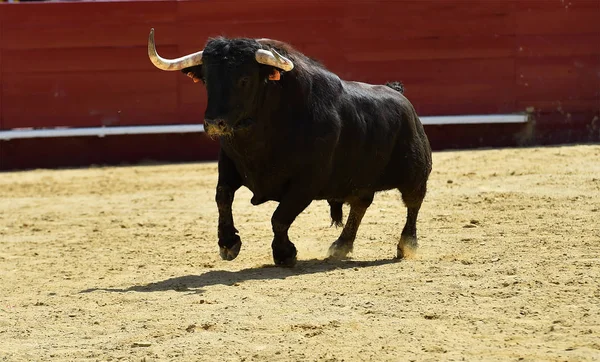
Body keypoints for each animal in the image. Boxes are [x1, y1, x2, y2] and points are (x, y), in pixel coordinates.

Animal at [148, 29, 434, 268]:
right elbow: (222, 197)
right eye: (206, 79)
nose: (214, 124)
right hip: (360, 180)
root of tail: (398, 94)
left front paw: (285, 254)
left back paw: (406, 245)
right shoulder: (229, 164)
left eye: (244, 79)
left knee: (413, 203)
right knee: (361, 204)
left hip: (415, 174)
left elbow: (280, 217)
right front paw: (228, 244)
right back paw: (341, 246)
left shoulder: (306, 182)